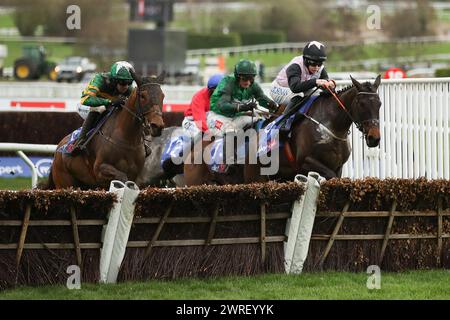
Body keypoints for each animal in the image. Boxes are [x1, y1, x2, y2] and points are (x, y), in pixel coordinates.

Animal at [185, 75, 382, 185]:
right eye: (361, 103)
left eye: (379, 103)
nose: (374, 138)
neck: (329, 127)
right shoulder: (306, 161)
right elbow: (329, 176)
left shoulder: (338, 166)